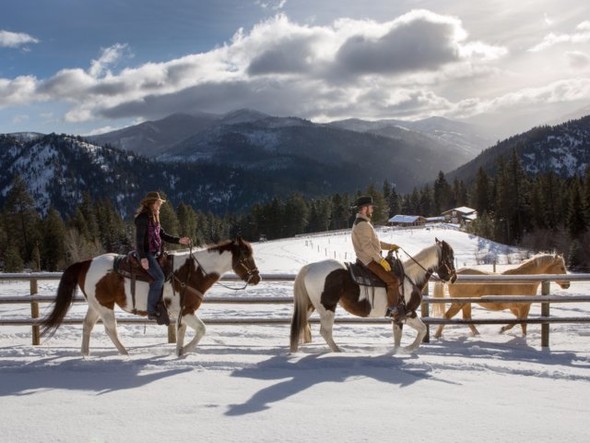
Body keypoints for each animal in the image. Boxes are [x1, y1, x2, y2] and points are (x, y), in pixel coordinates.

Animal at [40, 236, 260, 358]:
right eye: (246, 256)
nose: (257, 277)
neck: (192, 272)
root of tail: (86, 263)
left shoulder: (182, 312)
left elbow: (181, 332)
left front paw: (179, 352)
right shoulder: (187, 310)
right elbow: (202, 329)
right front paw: (186, 350)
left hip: (96, 305)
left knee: (87, 326)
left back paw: (85, 354)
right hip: (105, 307)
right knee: (111, 330)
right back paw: (125, 354)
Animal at [292, 239, 458, 354]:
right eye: (450, 257)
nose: (454, 278)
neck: (411, 277)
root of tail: (310, 267)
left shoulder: (399, 316)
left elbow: (400, 335)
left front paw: (398, 350)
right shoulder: (407, 312)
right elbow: (422, 330)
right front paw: (407, 349)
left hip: (311, 305)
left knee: (302, 323)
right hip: (327, 308)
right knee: (325, 331)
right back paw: (339, 351)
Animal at [434, 255, 572, 338]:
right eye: (561, 267)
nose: (567, 285)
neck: (524, 279)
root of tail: (453, 276)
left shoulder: (515, 307)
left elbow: (518, 320)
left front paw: (503, 329)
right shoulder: (524, 306)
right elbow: (521, 322)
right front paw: (518, 335)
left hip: (466, 303)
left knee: (467, 318)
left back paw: (478, 334)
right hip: (458, 303)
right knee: (447, 316)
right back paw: (437, 336)